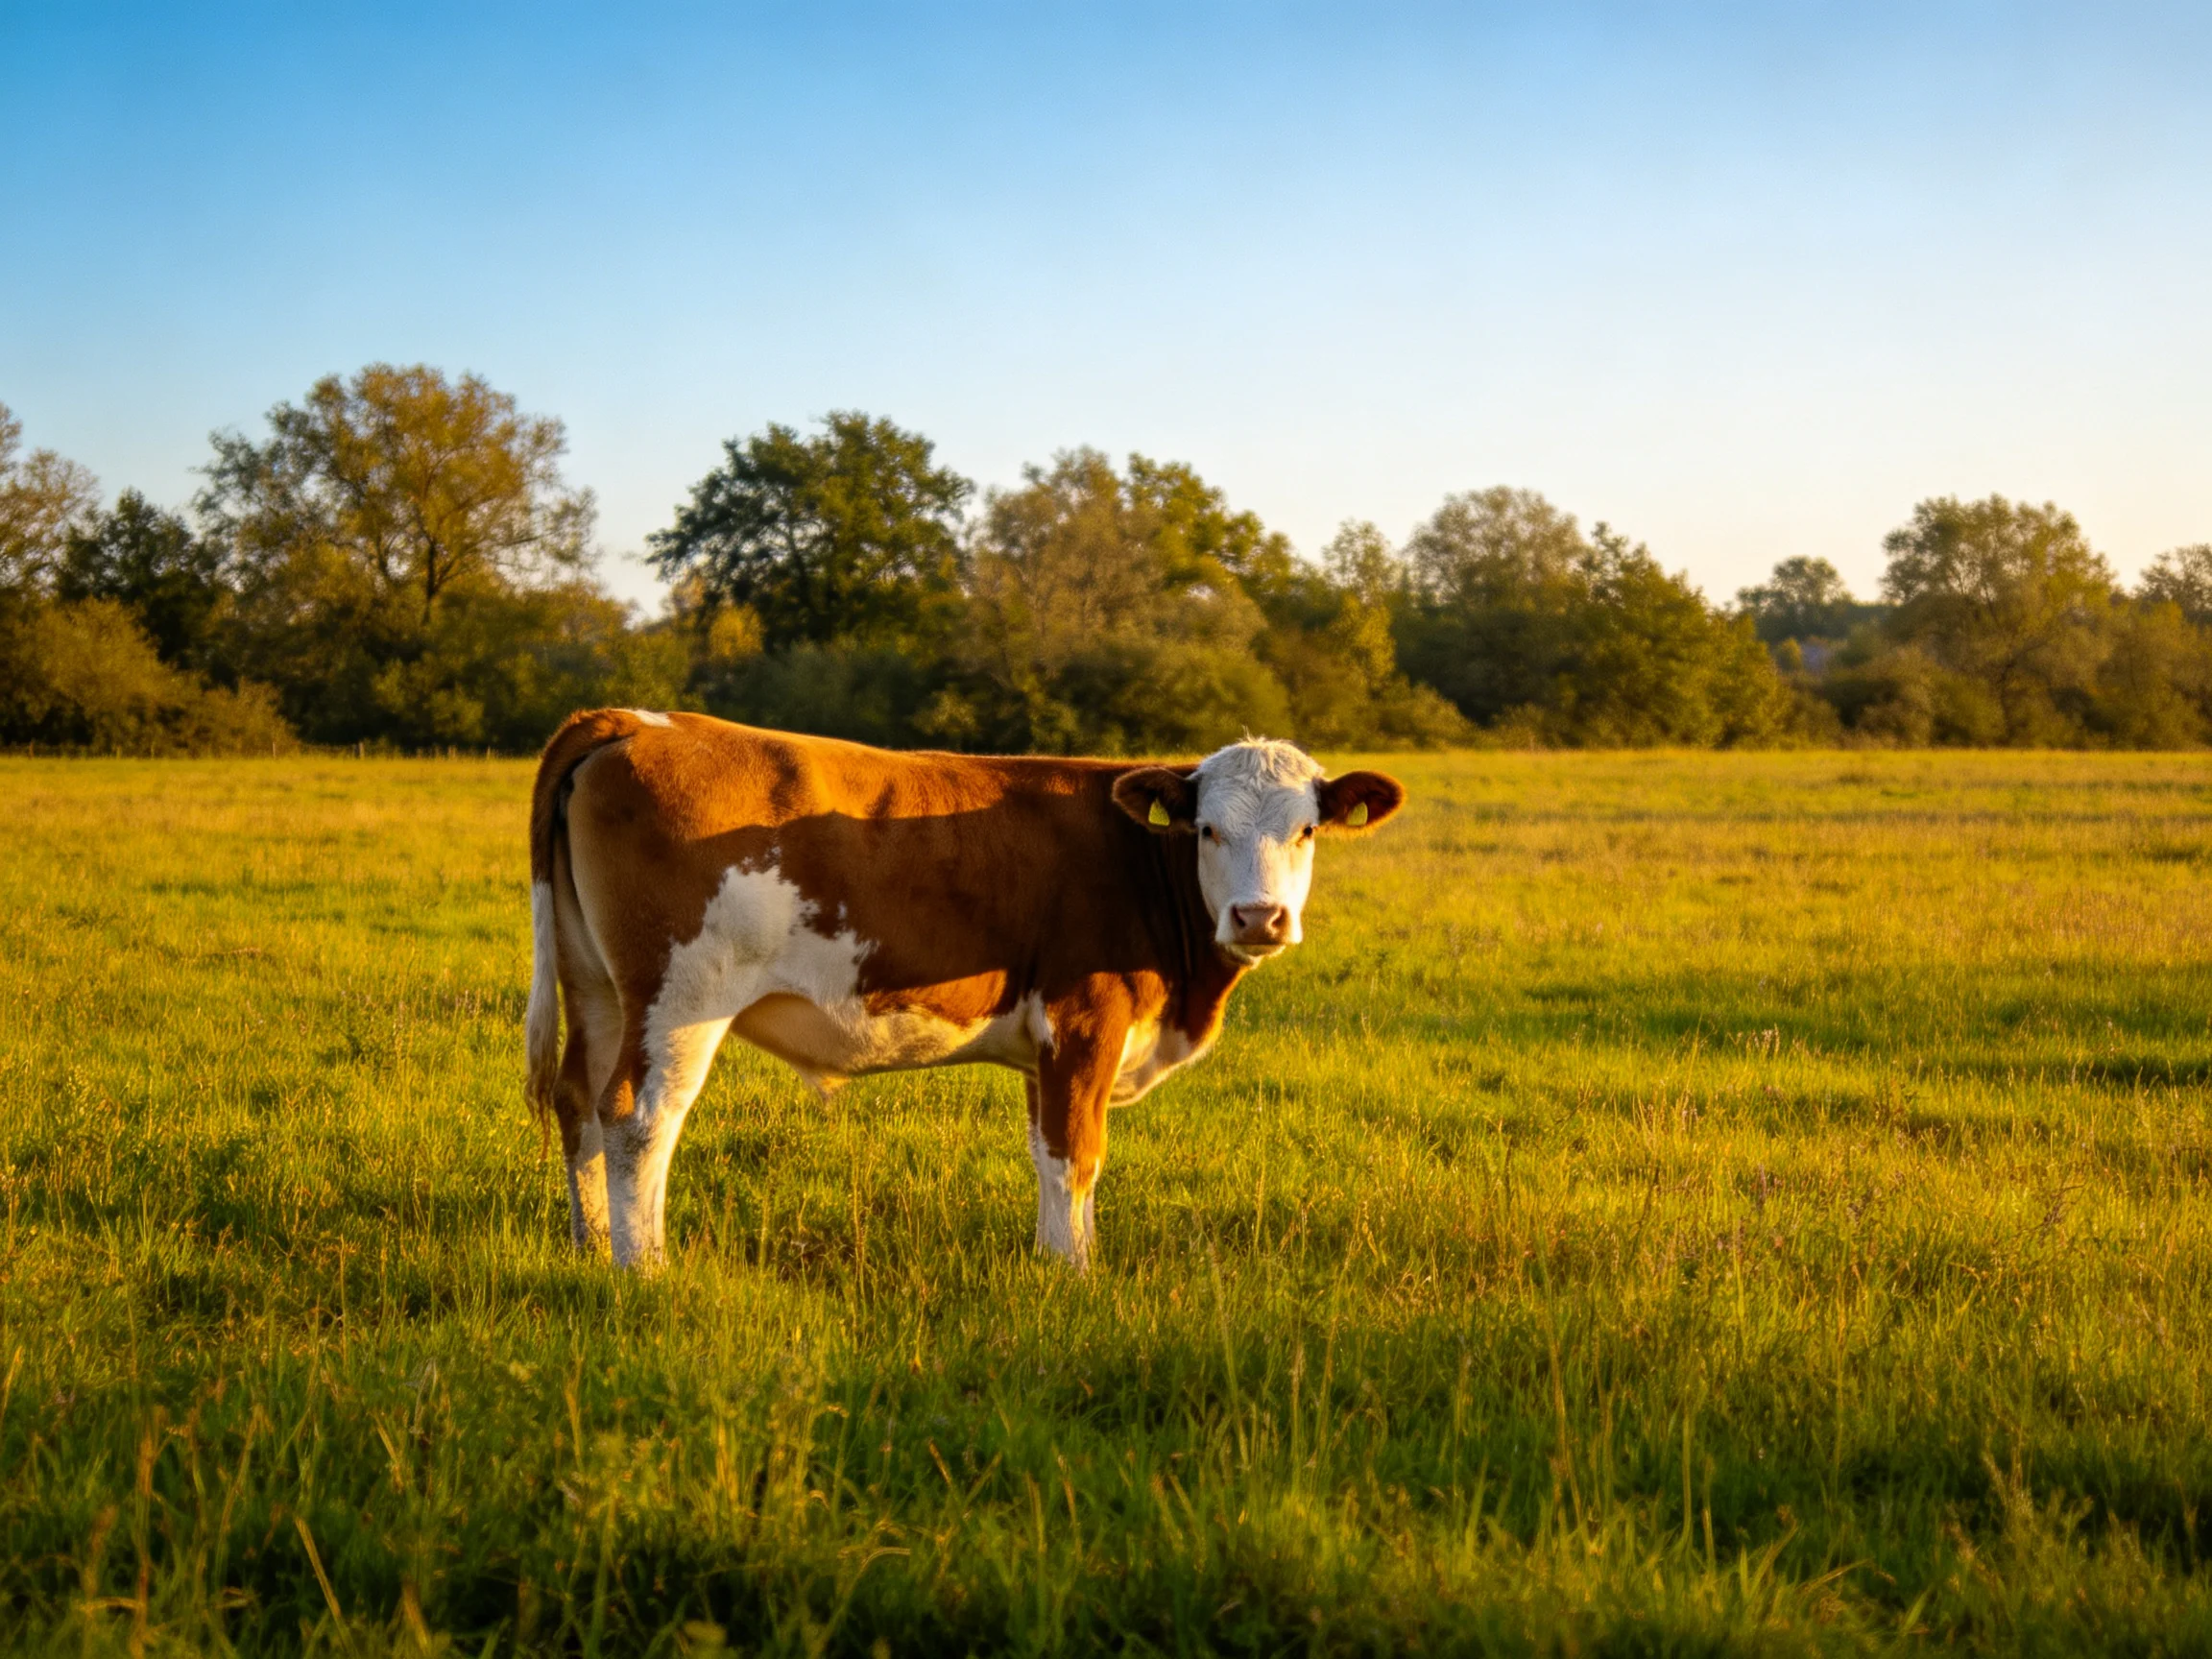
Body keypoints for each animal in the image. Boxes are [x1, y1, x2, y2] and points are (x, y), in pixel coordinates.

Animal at [524, 709, 1405, 1271]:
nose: (1260, 917)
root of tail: (637, 720)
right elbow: (1076, 1154)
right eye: (1208, 829)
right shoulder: (1085, 1021)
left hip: (599, 987)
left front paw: (1063, 1256)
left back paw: (591, 1247)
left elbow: (1054, 1150)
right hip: (678, 996)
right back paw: (645, 1269)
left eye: (1307, 830)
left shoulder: (1048, 1046)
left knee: (580, 1102)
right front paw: (1072, 1274)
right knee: (638, 1117)